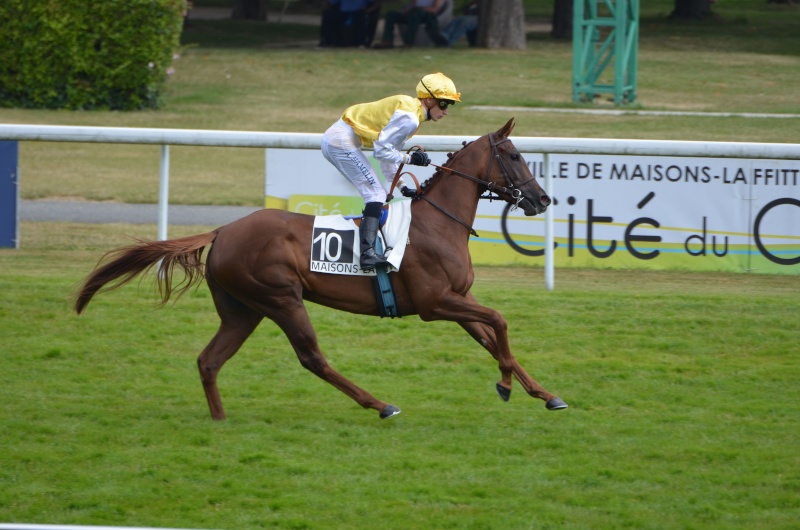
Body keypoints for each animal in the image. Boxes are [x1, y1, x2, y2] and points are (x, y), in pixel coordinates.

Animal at [72, 117, 564, 418]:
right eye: (515, 156)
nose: (543, 199)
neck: (438, 223)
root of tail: (222, 230)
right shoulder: (435, 303)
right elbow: (499, 322)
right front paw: (507, 385)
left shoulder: (458, 298)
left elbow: (493, 337)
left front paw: (544, 394)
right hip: (280, 298)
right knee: (311, 357)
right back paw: (380, 405)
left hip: (241, 309)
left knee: (209, 360)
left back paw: (219, 419)